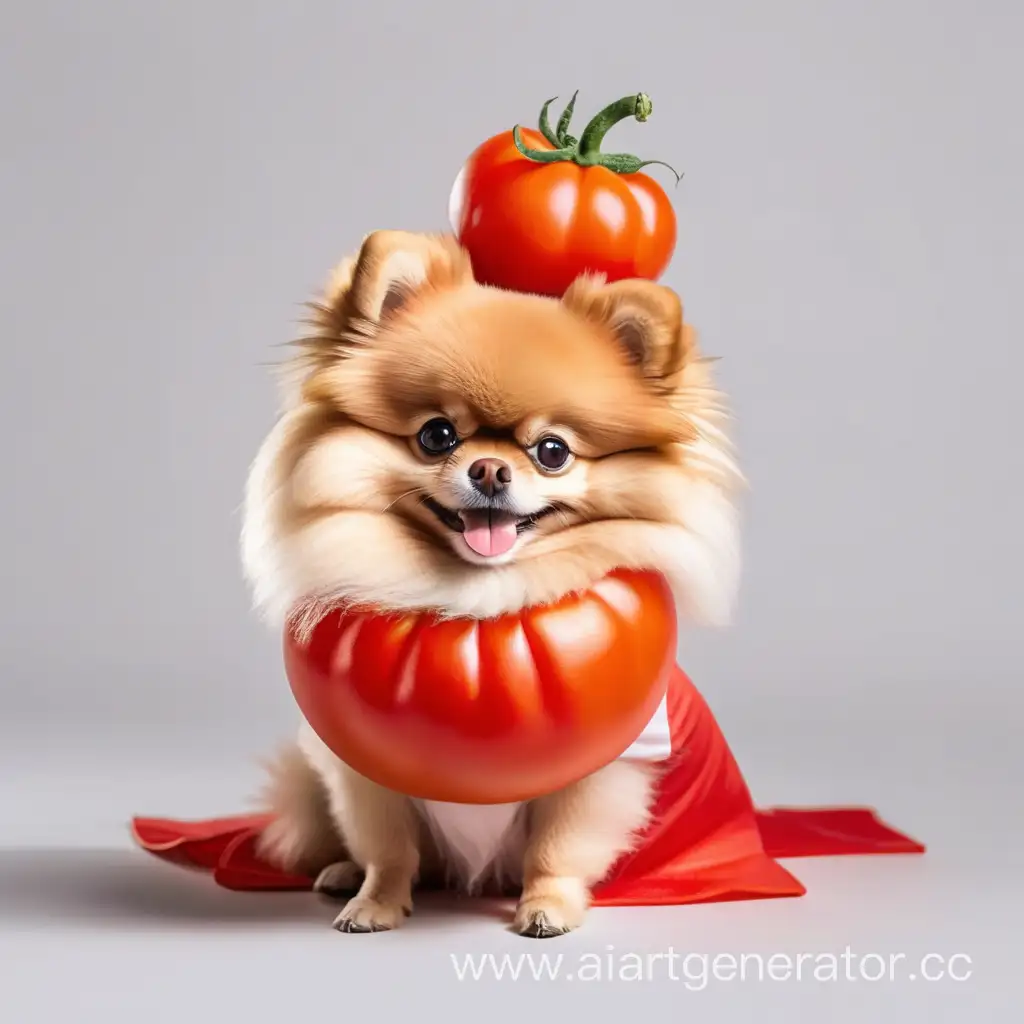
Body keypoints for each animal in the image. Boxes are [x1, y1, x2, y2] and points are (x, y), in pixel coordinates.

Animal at [239, 230, 737, 937]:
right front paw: (375, 903)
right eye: (436, 434)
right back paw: (338, 875)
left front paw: (547, 908)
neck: (479, 594)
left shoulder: (597, 773)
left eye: (552, 451)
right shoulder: (362, 768)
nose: (490, 470)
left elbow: (556, 849)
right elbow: (388, 850)